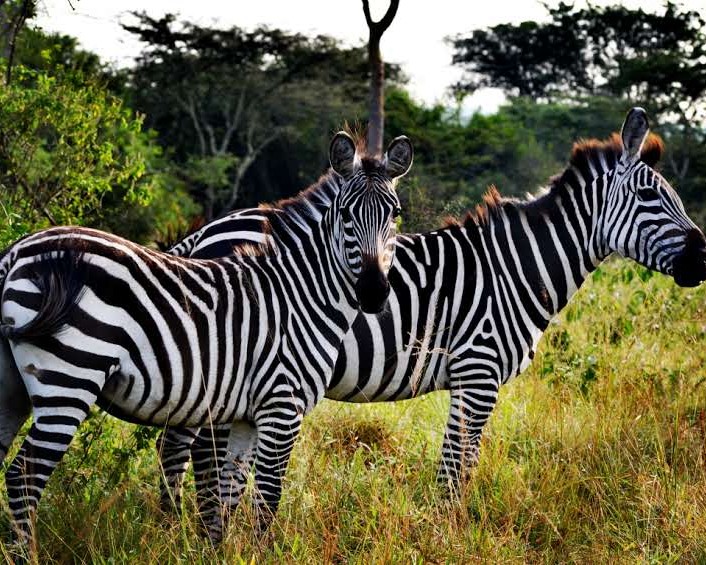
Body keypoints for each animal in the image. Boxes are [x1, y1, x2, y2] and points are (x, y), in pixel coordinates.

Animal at [0, 131, 414, 547]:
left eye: (394, 214)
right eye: (345, 214)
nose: (374, 292)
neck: (301, 294)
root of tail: (16, 251)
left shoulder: (249, 415)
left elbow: (231, 489)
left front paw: (221, 549)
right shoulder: (282, 406)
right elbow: (267, 497)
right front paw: (258, 551)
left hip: (15, 384)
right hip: (70, 377)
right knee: (24, 474)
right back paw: (27, 553)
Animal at [154, 108, 706, 511]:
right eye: (650, 196)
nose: (703, 256)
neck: (516, 268)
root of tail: (205, 232)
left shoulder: (471, 378)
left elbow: (458, 465)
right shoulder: (478, 372)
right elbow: (454, 471)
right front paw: (449, 532)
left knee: (176, 445)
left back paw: (173, 523)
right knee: (193, 448)